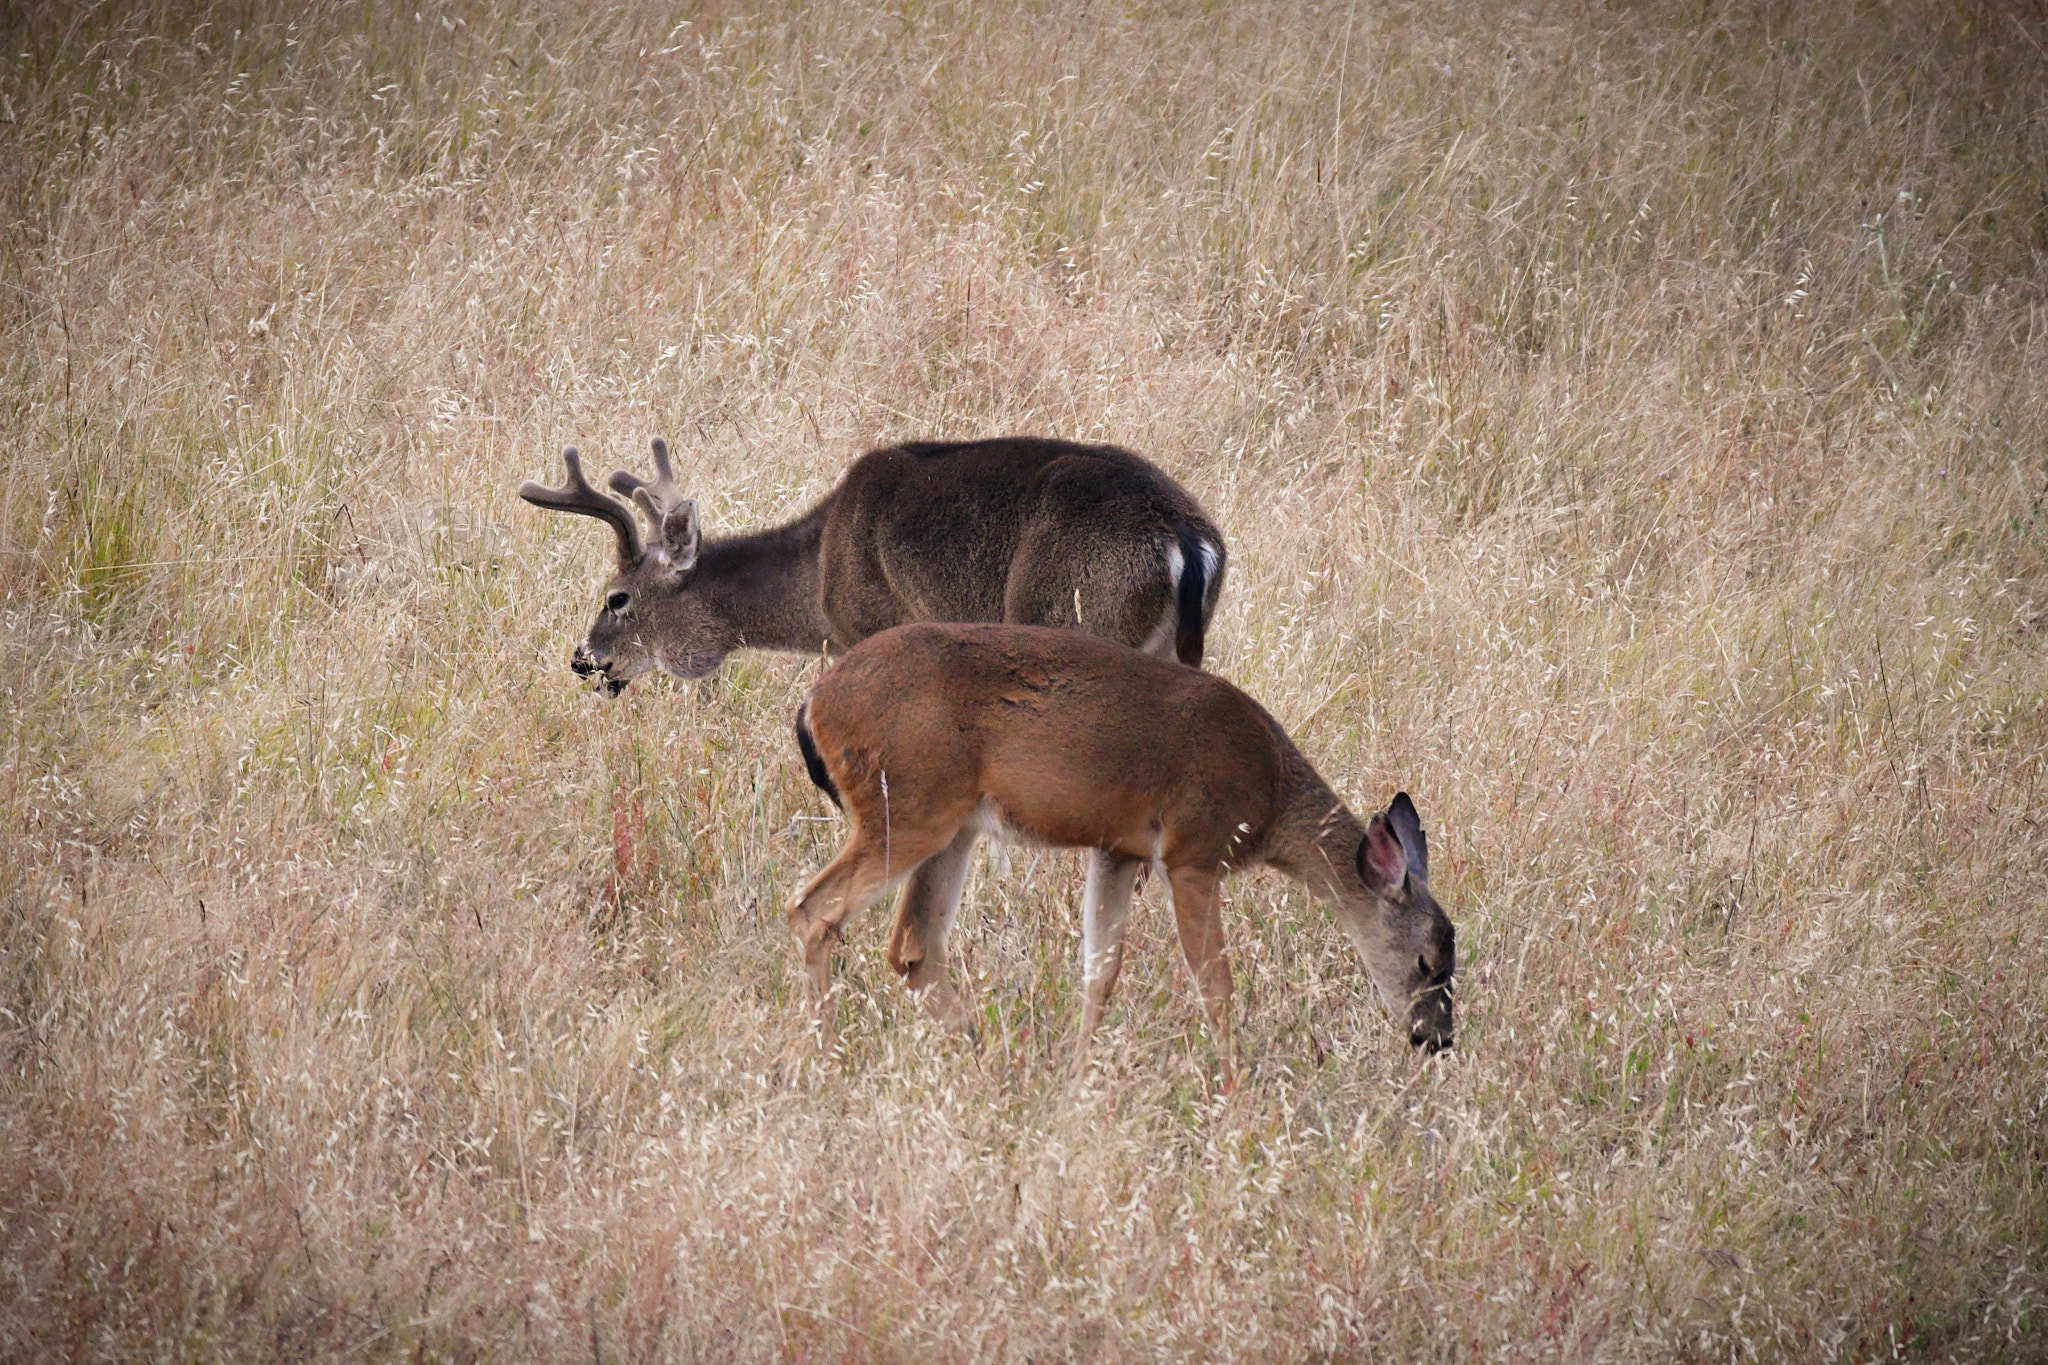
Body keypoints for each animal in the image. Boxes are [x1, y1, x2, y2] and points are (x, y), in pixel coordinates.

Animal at [786, 618, 1458, 1080]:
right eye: (1428, 960)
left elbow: (1100, 970)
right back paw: (831, 1064)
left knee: (912, 945)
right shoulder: (1192, 849)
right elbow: (1216, 986)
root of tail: (815, 704)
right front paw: (1237, 1094)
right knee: (812, 910)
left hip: (955, 824)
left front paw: (1077, 1079)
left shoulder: (1118, 849)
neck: (1271, 793)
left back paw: (983, 1060)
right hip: (911, 807)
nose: (1439, 1038)